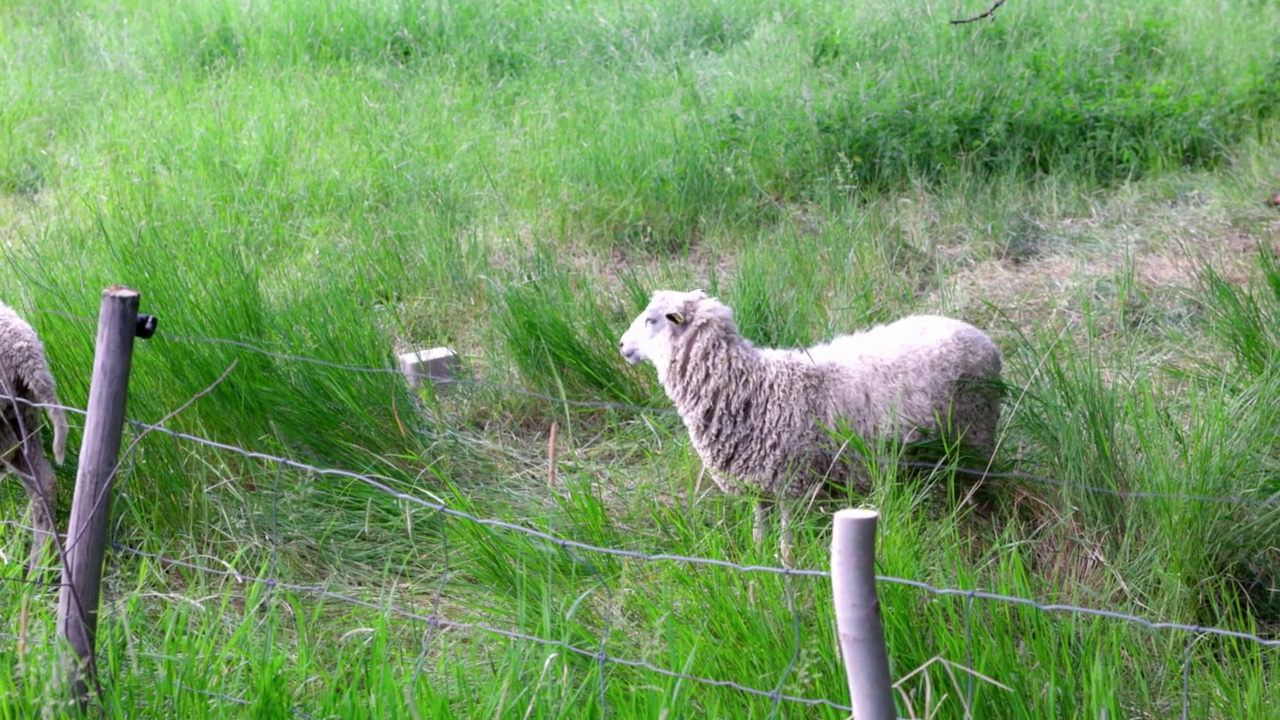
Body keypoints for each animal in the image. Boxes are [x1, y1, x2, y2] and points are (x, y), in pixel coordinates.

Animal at [616, 286, 998, 561]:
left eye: (651, 320)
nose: (621, 345)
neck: (751, 386)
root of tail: (983, 339)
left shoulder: (793, 481)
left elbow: (787, 543)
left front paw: (787, 570)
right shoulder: (761, 483)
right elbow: (759, 531)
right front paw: (760, 565)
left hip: (975, 432)